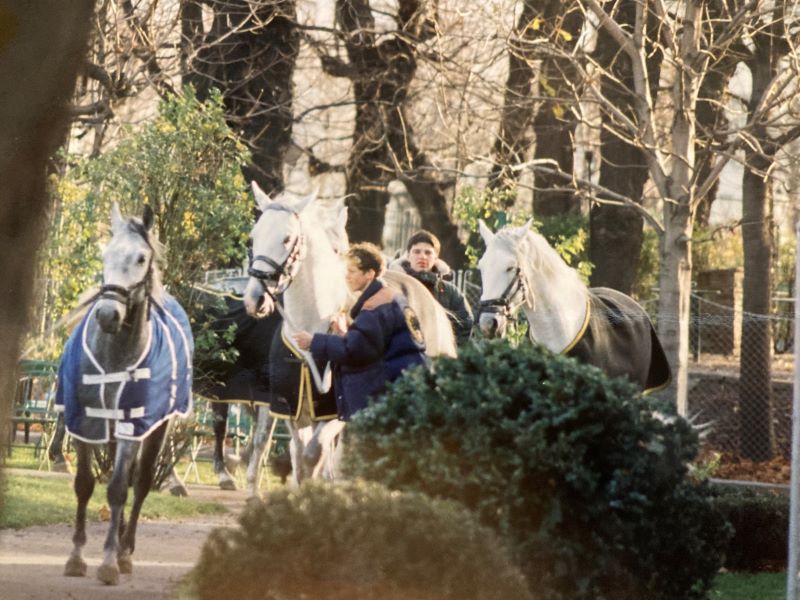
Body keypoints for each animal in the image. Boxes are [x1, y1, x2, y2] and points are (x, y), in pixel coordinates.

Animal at [56, 205, 194, 584]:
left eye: (141, 258)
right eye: (105, 254)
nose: (107, 314)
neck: (113, 355)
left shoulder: (135, 424)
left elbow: (119, 488)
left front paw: (108, 561)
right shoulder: (83, 421)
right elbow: (84, 484)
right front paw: (76, 557)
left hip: (157, 429)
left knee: (141, 482)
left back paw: (124, 550)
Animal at [242, 183, 456, 496]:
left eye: (287, 238)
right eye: (254, 236)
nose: (255, 298)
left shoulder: (335, 413)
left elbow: (314, 454)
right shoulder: (294, 411)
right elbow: (300, 458)